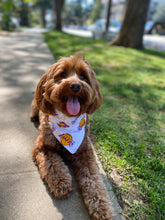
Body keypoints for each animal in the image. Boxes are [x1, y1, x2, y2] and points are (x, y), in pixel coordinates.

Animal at [30, 53, 113, 220]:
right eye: (62, 74)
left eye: (83, 76)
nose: (75, 85)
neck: (67, 121)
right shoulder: (42, 147)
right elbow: (53, 165)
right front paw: (61, 183)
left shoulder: (85, 151)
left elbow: (93, 180)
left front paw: (101, 207)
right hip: (36, 104)